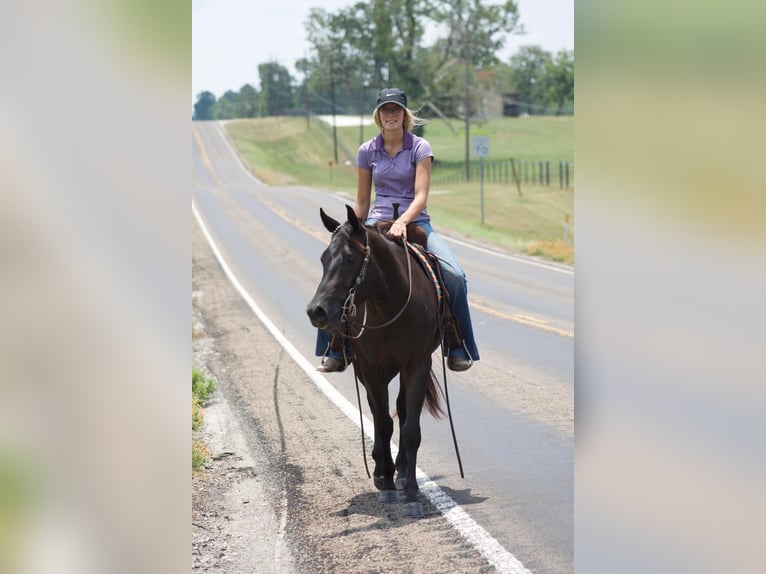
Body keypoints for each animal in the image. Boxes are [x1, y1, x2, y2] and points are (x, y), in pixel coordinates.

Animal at [308, 206, 448, 516]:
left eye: (350, 258)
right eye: (323, 258)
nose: (316, 311)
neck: (388, 304)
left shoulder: (417, 365)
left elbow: (410, 428)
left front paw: (411, 492)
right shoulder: (371, 370)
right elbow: (383, 424)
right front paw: (387, 484)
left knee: (401, 410)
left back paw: (402, 470)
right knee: (378, 413)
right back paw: (381, 469)